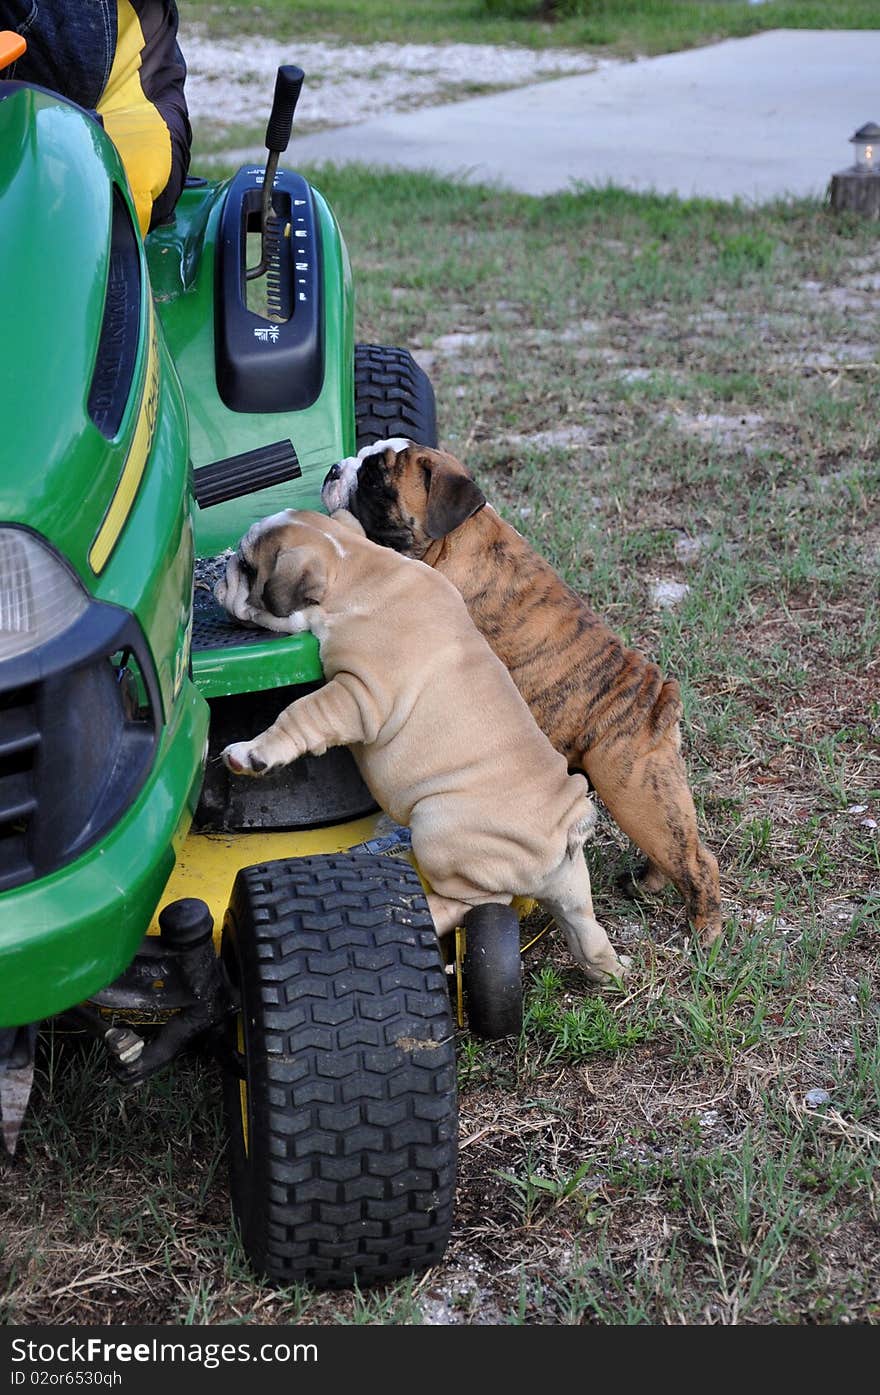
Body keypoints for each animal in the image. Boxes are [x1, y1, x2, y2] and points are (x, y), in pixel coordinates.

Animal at [213, 510, 627, 982]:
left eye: (246, 566)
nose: (222, 572)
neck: (356, 565)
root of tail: (564, 826)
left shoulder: (357, 696)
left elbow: (299, 714)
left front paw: (253, 754)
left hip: (437, 829)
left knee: (476, 902)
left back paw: (417, 910)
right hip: (570, 885)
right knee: (584, 927)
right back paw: (610, 970)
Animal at [323, 440, 725, 943]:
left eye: (376, 480)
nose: (333, 469)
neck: (456, 541)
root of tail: (657, 702)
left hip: (634, 792)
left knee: (697, 861)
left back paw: (705, 933)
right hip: (653, 796)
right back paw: (645, 885)